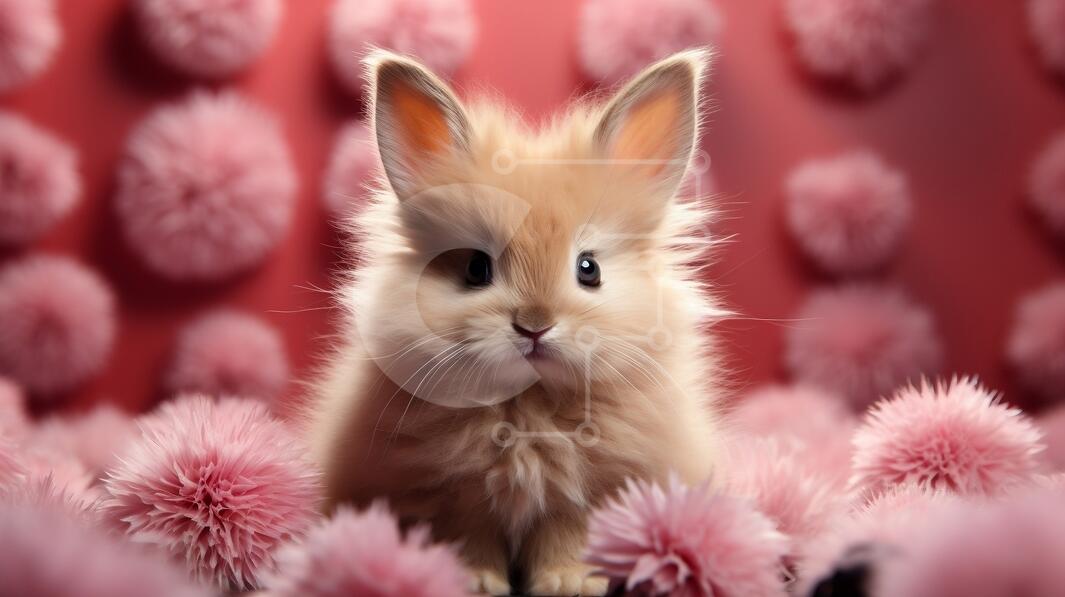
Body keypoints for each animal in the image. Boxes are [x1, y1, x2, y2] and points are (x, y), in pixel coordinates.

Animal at [308, 48, 725, 596]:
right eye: (475, 268)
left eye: (588, 268)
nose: (534, 326)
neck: (528, 406)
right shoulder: (449, 492)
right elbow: (468, 533)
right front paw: (473, 581)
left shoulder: (592, 491)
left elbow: (569, 533)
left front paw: (569, 582)